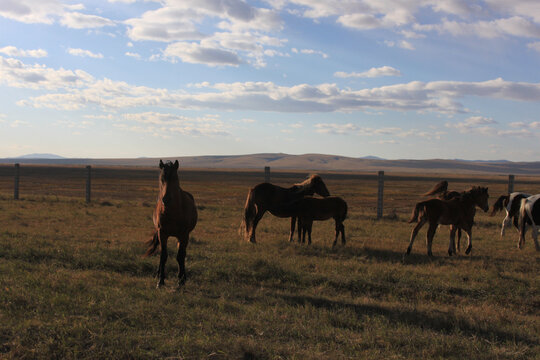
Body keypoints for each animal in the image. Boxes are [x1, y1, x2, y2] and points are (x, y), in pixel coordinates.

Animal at [143, 160, 198, 290]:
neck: (173, 211)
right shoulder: (162, 233)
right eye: (162, 178)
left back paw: (183, 276)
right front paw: (160, 281)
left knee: (182, 254)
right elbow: (163, 255)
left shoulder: (183, 235)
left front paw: (181, 281)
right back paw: (158, 273)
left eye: (175, 178)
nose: (166, 199)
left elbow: (180, 256)